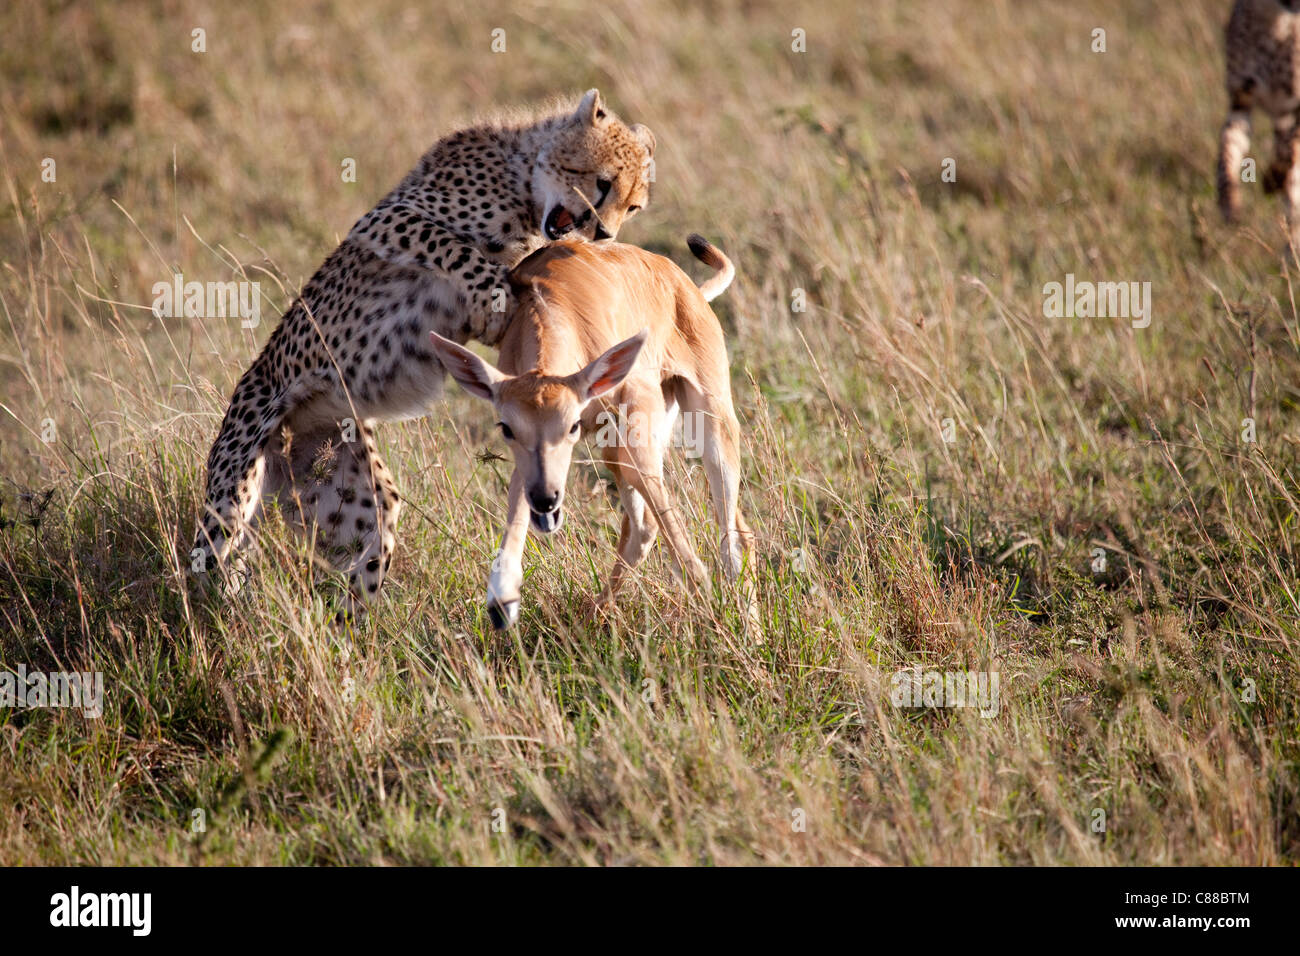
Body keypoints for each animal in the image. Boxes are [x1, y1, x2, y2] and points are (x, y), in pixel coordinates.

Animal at [189, 89, 660, 613]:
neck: (525, 181)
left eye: (632, 206)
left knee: (367, 550)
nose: (604, 234)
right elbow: (457, 250)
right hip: (235, 483)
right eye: (602, 183)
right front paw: (498, 293)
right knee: (208, 560)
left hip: (353, 495)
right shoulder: (387, 219)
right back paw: (219, 612)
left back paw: (354, 626)